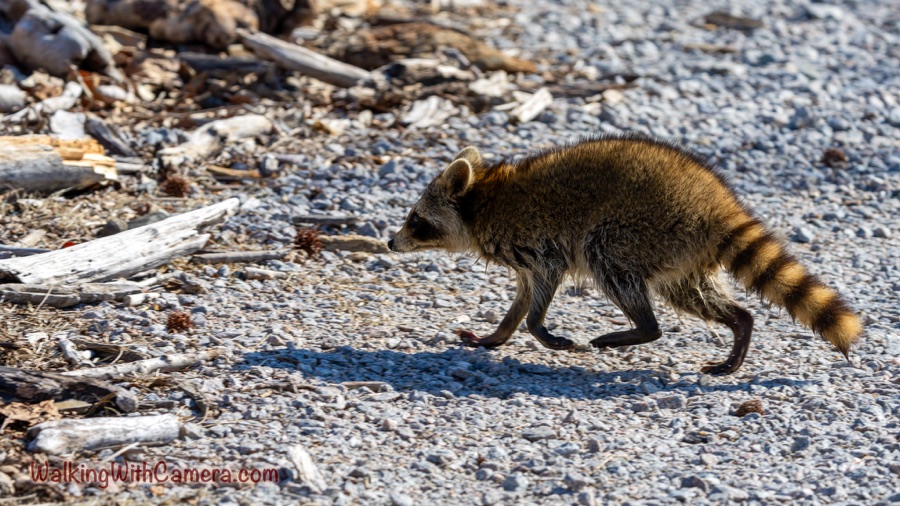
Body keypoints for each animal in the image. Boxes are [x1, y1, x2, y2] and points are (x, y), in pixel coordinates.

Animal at [388, 135, 862, 374]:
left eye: (416, 219)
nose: (391, 242)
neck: (482, 199)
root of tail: (718, 205)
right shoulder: (522, 260)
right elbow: (521, 299)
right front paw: (496, 334)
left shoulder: (535, 244)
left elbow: (544, 286)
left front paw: (539, 330)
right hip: (682, 252)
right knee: (694, 296)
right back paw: (739, 327)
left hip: (642, 228)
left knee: (607, 260)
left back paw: (641, 328)